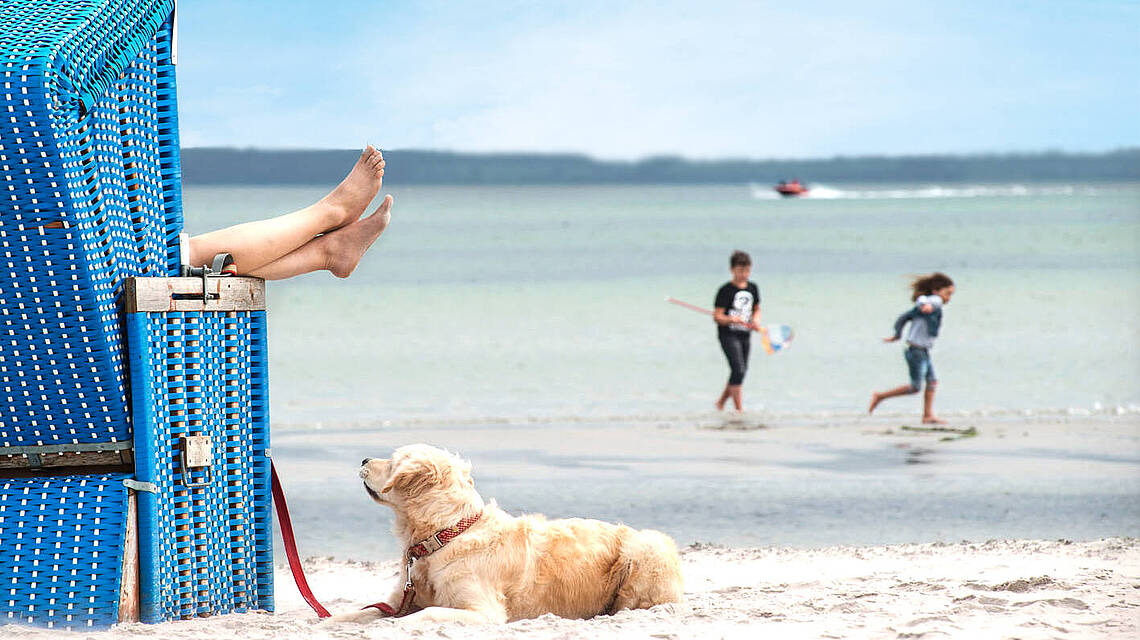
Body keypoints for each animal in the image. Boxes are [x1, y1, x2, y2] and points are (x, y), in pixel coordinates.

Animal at [330, 444, 684, 625]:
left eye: (391, 461)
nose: (363, 458)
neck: (445, 534)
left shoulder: (481, 610)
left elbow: (420, 615)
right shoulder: (399, 598)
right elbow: (358, 613)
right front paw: (329, 623)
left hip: (647, 547)